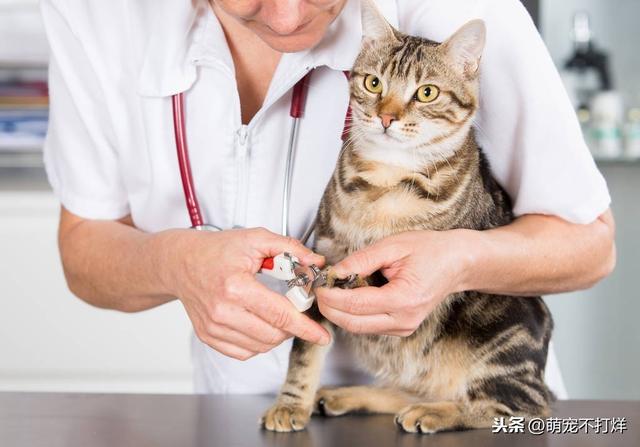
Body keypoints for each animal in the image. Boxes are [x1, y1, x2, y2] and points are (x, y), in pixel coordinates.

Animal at [260, 0, 556, 434]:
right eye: (373, 84)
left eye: (426, 93)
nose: (387, 117)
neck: (385, 182)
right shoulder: (325, 247)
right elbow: (305, 353)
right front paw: (291, 403)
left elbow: (368, 276)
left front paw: (351, 278)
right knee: (411, 388)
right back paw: (349, 395)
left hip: (505, 326)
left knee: (522, 406)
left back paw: (437, 411)